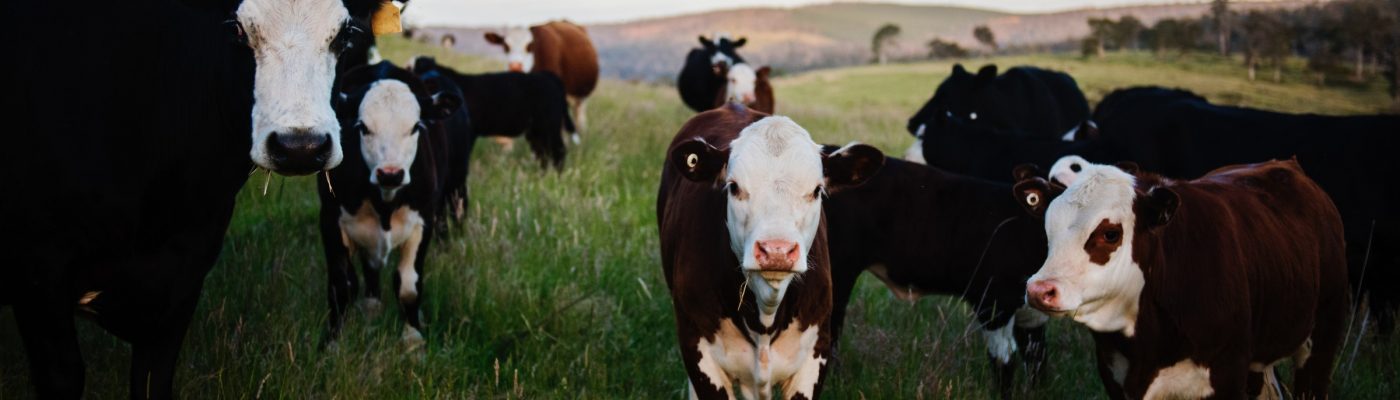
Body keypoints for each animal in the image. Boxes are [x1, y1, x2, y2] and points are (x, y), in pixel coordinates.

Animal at [2, 0, 399, 397]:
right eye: (236, 29)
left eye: (345, 34)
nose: (300, 146)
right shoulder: (39, 272)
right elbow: (64, 374)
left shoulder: (185, 272)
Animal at [319, 61, 458, 348]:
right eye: (362, 127)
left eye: (415, 127)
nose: (390, 174)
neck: (383, 203)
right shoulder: (330, 219)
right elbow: (341, 285)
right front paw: (333, 342)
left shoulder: (423, 221)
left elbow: (408, 285)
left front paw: (413, 338)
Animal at [658, 104, 883, 399]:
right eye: (733, 186)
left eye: (817, 190)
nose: (777, 250)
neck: (764, 317)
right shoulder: (698, 349)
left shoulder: (815, 354)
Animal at [1018, 158, 1349, 399]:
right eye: (1048, 226)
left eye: (1110, 233)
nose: (1039, 290)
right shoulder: (1115, 375)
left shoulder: (1228, 375)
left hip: (1323, 337)